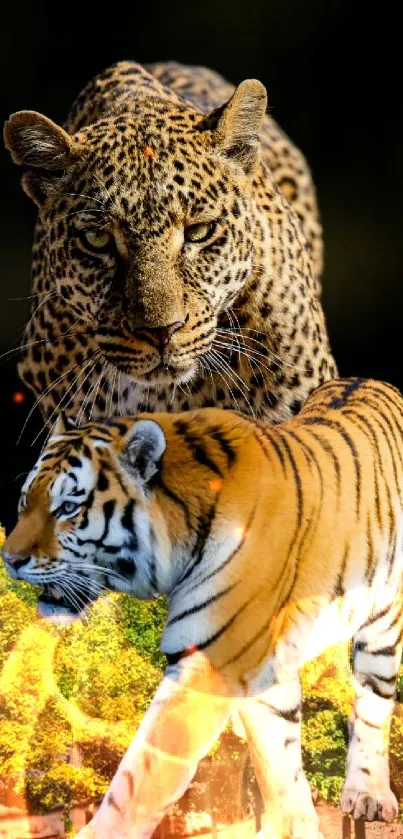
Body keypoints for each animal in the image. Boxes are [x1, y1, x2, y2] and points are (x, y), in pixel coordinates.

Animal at [0, 380, 403, 839]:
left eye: (68, 507)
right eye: (24, 502)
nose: (9, 559)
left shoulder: (211, 662)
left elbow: (141, 773)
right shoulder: (258, 669)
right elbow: (277, 763)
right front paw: (295, 826)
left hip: (382, 626)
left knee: (373, 705)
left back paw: (368, 794)